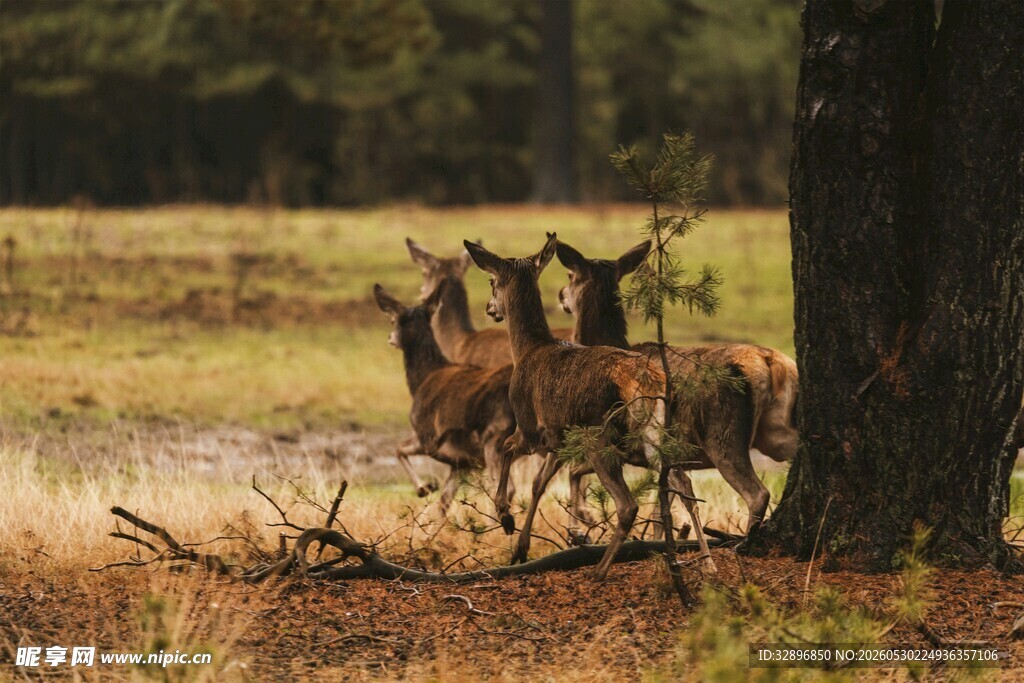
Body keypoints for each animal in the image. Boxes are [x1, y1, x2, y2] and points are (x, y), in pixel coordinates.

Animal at [373, 282, 525, 512]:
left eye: (393, 320)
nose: (390, 338)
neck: (422, 380)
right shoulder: (462, 462)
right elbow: (443, 503)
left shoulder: (428, 437)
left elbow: (398, 449)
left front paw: (424, 488)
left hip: (495, 437)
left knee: (504, 490)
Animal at [464, 233, 715, 580]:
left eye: (491, 281)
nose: (490, 309)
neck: (527, 350)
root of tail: (647, 381)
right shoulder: (559, 439)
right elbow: (540, 483)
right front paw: (523, 544)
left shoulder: (531, 426)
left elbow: (507, 447)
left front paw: (505, 517)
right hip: (654, 435)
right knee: (684, 486)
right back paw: (708, 561)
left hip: (599, 436)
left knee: (628, 504)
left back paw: (599, 570)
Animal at [554, 237, 800, 531]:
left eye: (570, 275)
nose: (561, 295)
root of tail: (771, 362)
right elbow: (661, 512)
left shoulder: (618, 441)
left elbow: (574, 471)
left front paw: (579, 528)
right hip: (775, 431)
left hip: (723, 433)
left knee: (757, 493)